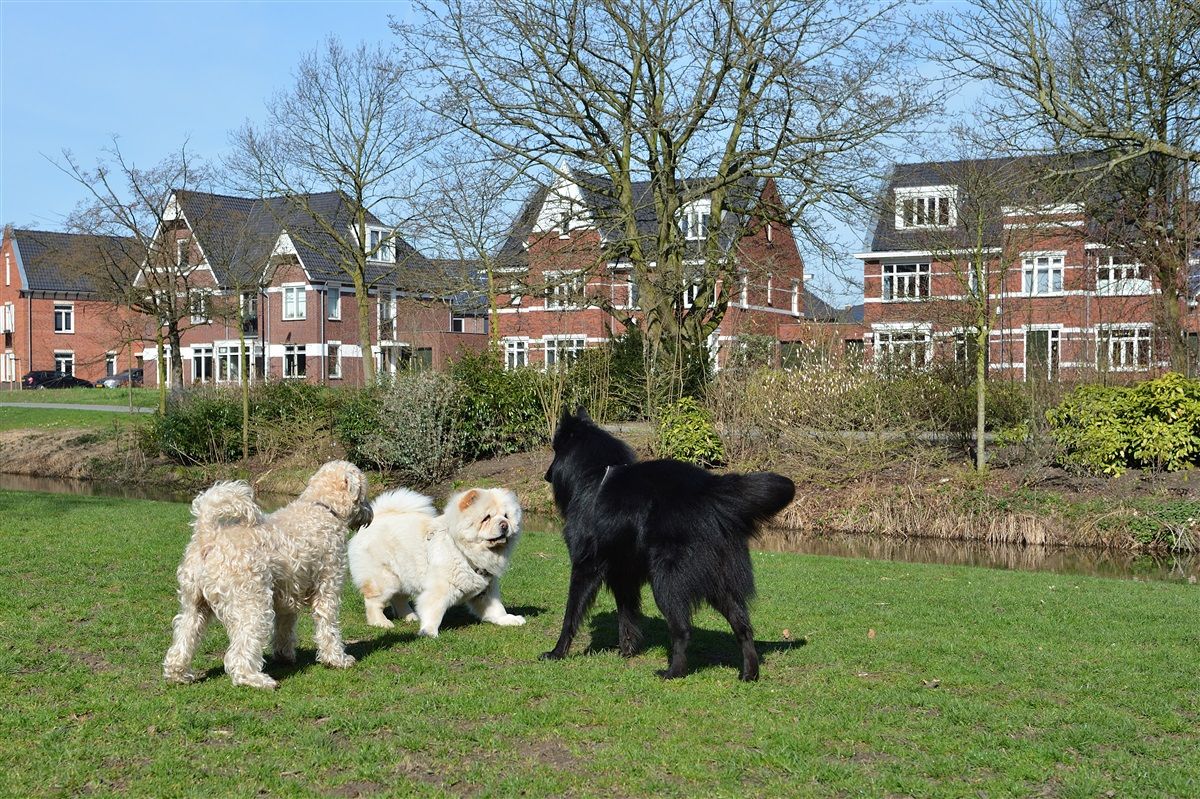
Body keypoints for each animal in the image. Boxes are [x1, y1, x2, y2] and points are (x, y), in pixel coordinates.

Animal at [162, 458, 372, 686]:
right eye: (364, 491)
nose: (370, 512)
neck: (323, 508)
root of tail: (208, 536)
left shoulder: (287, 595)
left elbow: (285, 629)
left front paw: (284, 656)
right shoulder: (328, 587)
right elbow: (329, 627)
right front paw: (337, 659)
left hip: (194, 604)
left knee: (183, 637)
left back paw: (179, 674)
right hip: (253, 604)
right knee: (240, 651)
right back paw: (256, 679)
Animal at [544, 405, 796, 676]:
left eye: (555, 449)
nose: (546, 476)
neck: (594, 475)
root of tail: (711, 491)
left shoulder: (585, 567)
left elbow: (571, 615)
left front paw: (557, 652)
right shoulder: (623, 574)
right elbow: (626, 616)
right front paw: (626, 651)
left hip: (666, 582)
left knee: (682, 630)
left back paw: (673, 672)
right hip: (719, 584)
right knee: (743, 627)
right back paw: (749, 673)